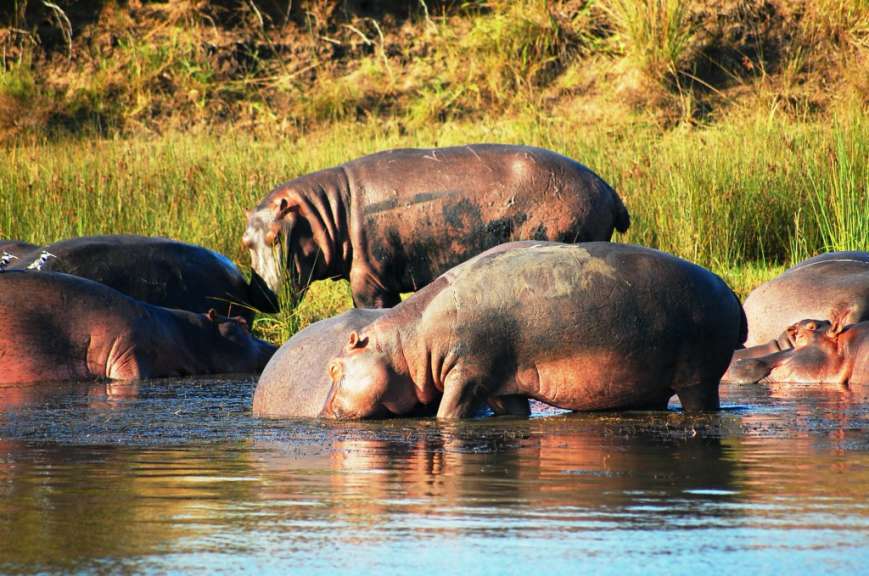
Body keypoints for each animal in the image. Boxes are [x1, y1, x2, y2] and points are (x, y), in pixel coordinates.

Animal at [243, 144, 630, 308]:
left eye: (276, 238)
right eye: (247, 241)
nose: (259, 295)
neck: (327, 209)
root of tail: (607, 188)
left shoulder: (370, 279)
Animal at [321, 241, 746, 419]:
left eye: (333, 367)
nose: (323, 412)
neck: (407, 342)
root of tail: (728, 291)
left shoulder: (467, 374)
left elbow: (448, 413)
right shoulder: (500, 387)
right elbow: (512, 410)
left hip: (697, 377)